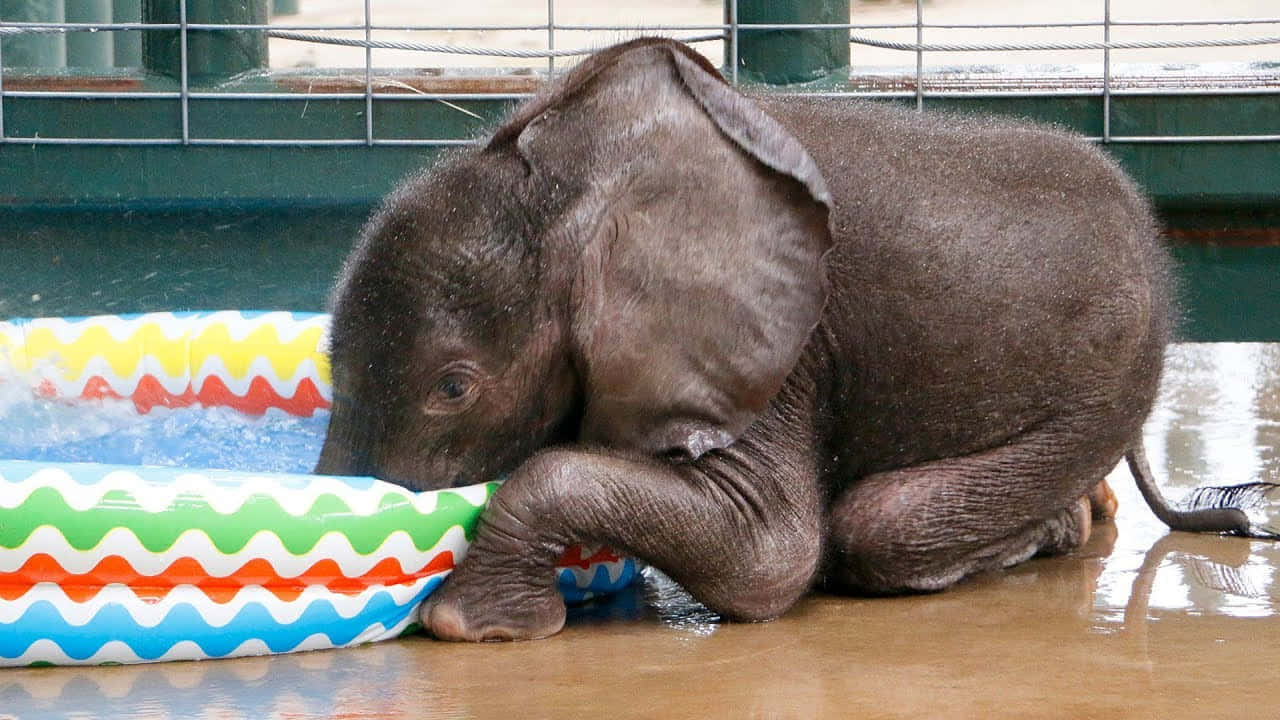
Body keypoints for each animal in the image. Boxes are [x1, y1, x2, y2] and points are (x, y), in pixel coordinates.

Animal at [316, 37, 1273, 641]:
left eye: (453, 387)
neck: (584, 181)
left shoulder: (784, 348)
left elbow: (767, 559)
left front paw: (461, 626)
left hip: (1108, 379)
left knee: (879, 527)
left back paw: (1043, 532)